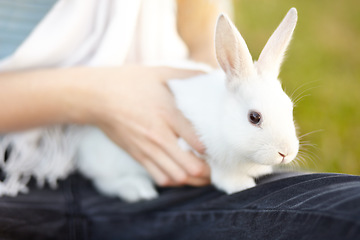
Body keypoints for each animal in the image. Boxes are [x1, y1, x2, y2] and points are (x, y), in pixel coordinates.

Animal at [77, 7, 300, 201]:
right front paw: (241, 185)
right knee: (106, 182)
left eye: (289, 108)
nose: (285, 153)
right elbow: (221, 174)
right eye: (254, 117)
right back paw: (138, 190)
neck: (222, 119)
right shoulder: (203, 152)